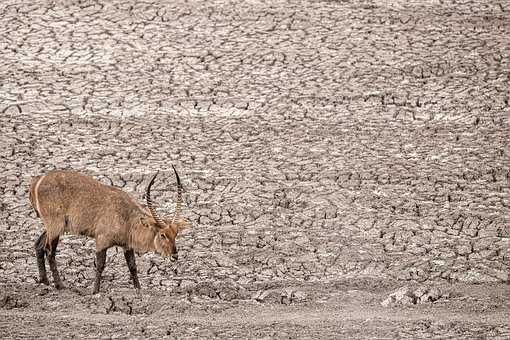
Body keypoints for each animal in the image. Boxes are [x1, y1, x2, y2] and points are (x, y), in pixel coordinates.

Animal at [27, 166, 188, 294]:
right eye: (162, 235)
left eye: (176, 233)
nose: (175, 256)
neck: (126, 217)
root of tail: (38, 181)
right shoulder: (101, 241)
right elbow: (100, 265)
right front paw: (95, 291)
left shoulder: (127, 246)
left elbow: (132, 267)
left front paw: (139, 290)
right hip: (56, 226)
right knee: (49, 251)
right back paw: (59, 285)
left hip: (53, 227)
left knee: (39, 245)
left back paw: (44, 281)